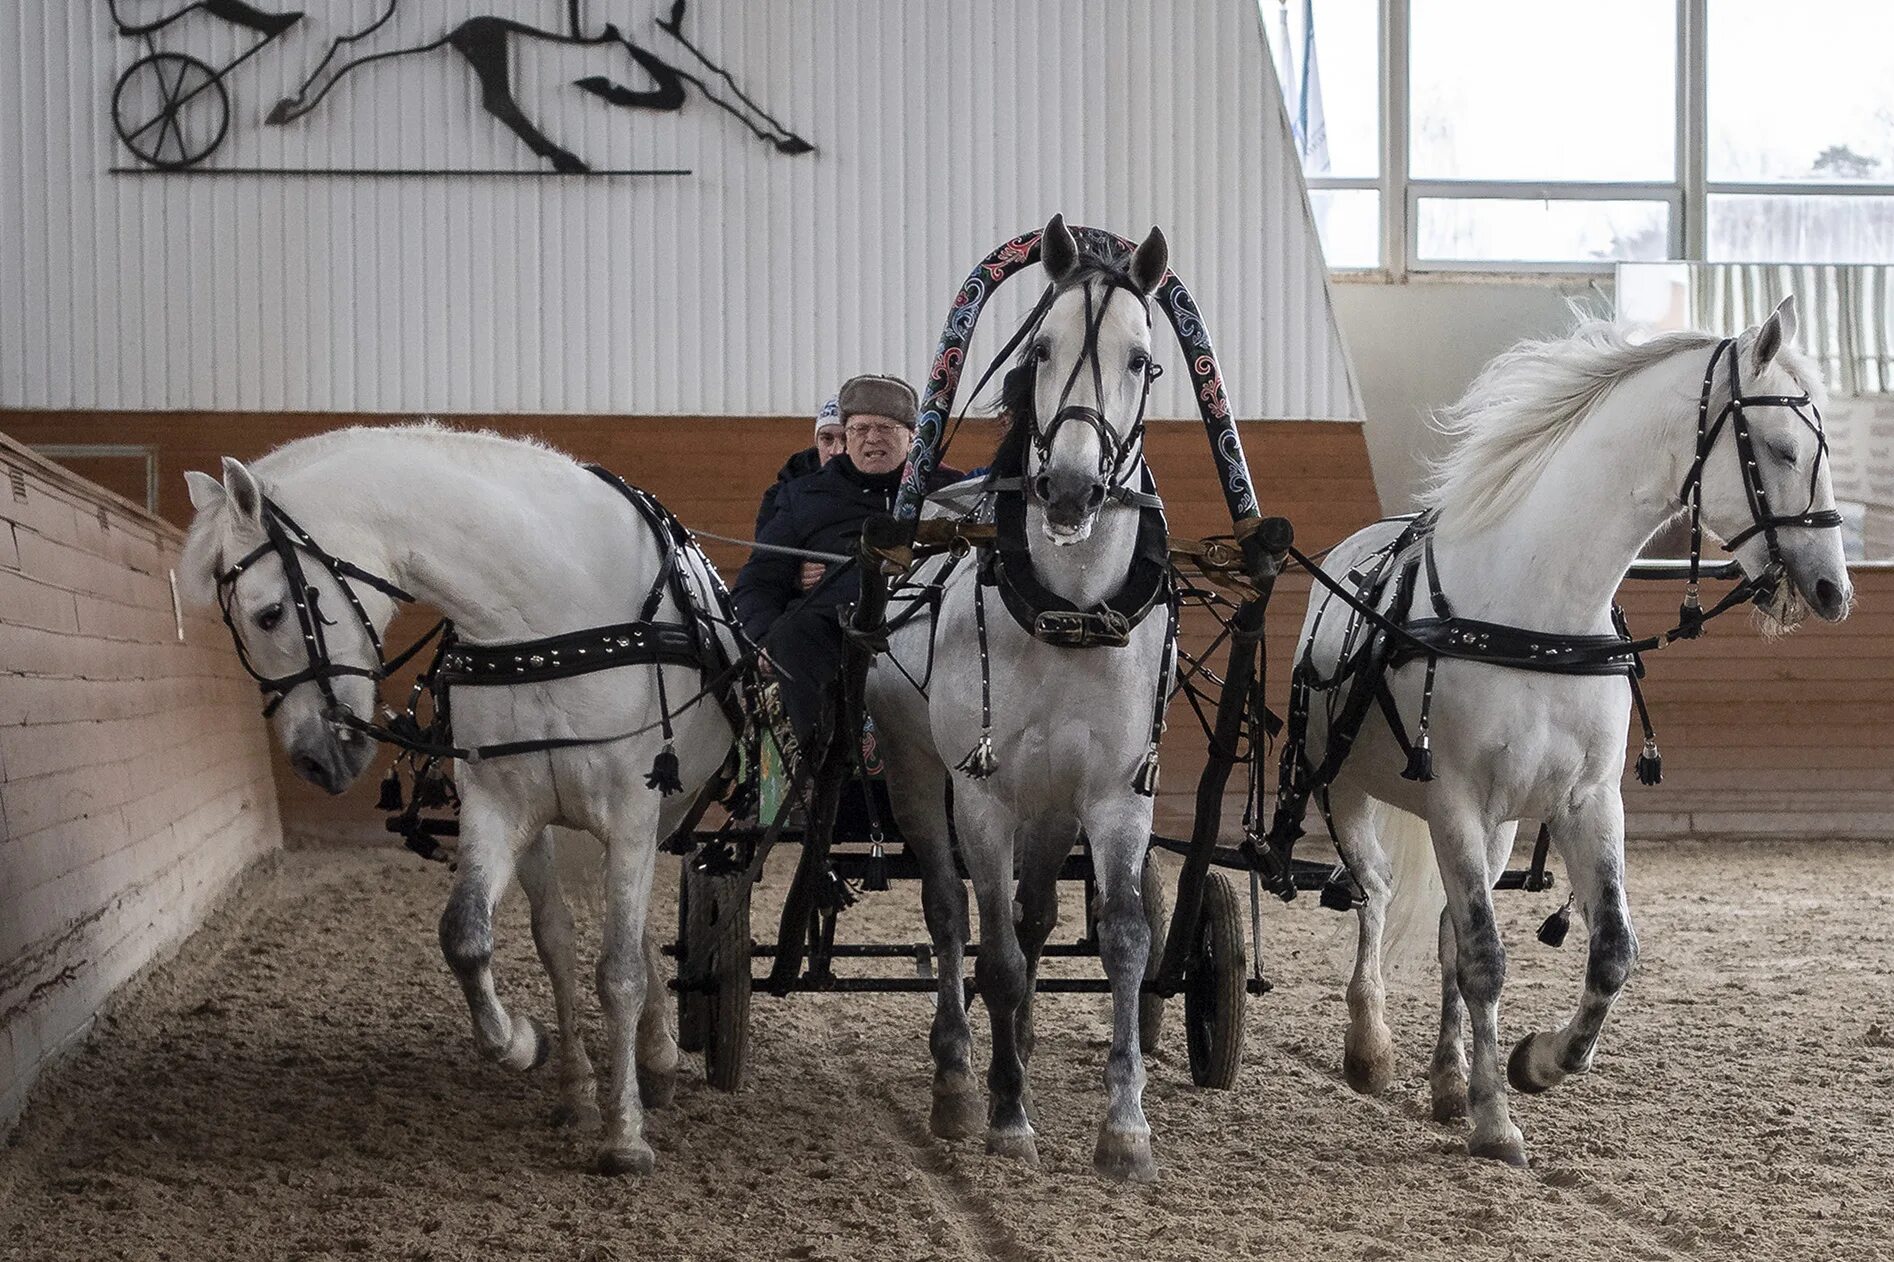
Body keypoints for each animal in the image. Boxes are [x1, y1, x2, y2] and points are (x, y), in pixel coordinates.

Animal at [178, 424, 738, 1167]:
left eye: (270, 614)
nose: (312, 760)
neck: (546, 617)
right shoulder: (503, 806)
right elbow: (468, 938)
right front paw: (526, 1046)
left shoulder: (633, 813)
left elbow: (618, 973)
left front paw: (625, 1137)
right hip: (554, 831)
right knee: (563, 940)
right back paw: (601, 1080)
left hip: (660, 818)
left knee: (632, 941)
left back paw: (655, 1061)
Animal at [867, 214, 1174, 1182]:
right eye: (1042, 348)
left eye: (1142, 360)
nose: (1071, 488)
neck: (1069, 610)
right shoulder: (984, 793)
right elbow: (993, 953)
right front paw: (1006, 1114)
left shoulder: (1114, 795)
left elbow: (1122, 939)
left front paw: (1126, 1126)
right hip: (918, 775)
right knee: (952, 913)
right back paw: (960, 1072)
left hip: (1052, 802)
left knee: (1036, 917)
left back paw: (1026, 1044)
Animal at [1303, 295, 1848, 1159]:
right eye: (1783, 447)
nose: (1832, 590)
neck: (1542, 612)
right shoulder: (1454, 800)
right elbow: (1488, 960)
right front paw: (1497, 1124)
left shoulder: (1587, 801)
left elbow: (1611, 951)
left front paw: (1534, 1064)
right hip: (1350, 790)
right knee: (1375, 894)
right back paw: (1369, 1048)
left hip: (1492, 832)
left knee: (1446, 930)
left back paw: (1449, 1081)